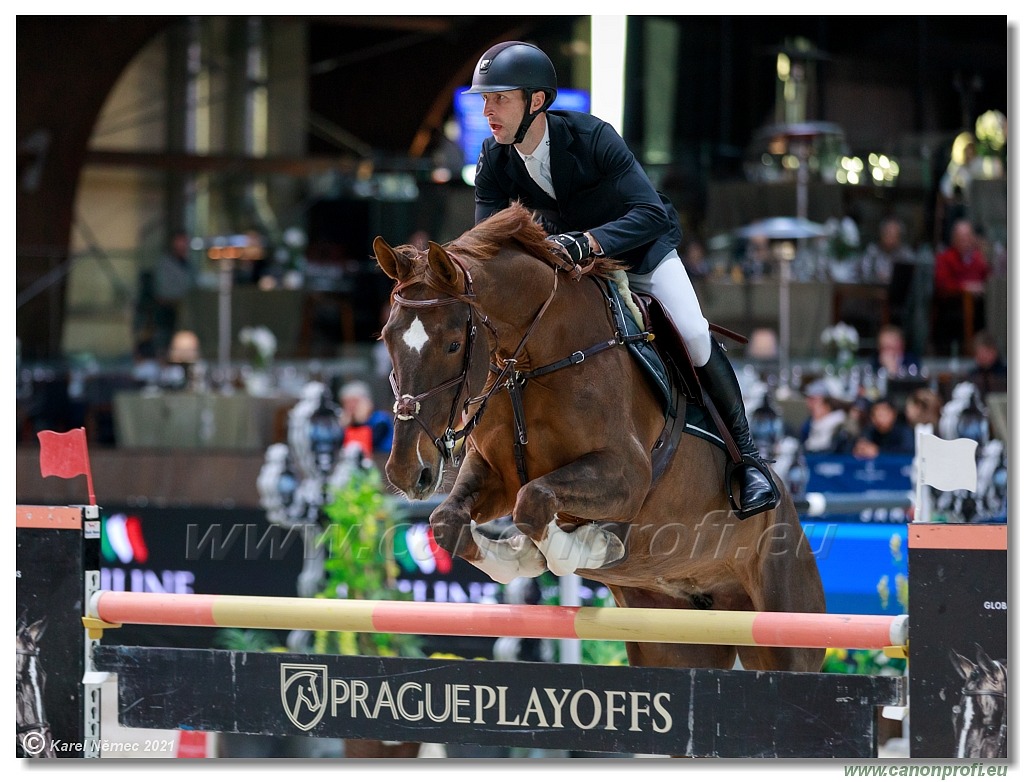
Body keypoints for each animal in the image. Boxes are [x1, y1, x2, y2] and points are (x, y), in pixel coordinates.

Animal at [372, 204, 827, 675]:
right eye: (387, 338)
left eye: (452, 344)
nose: (406, 471)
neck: (534, 362)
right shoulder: (496, 473)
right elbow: (449, 521)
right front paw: (521, 554)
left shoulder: (626, 474)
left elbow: (534, 503)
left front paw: (580, 547)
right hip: (674, 640)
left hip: (786, 629)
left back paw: (754, 483)